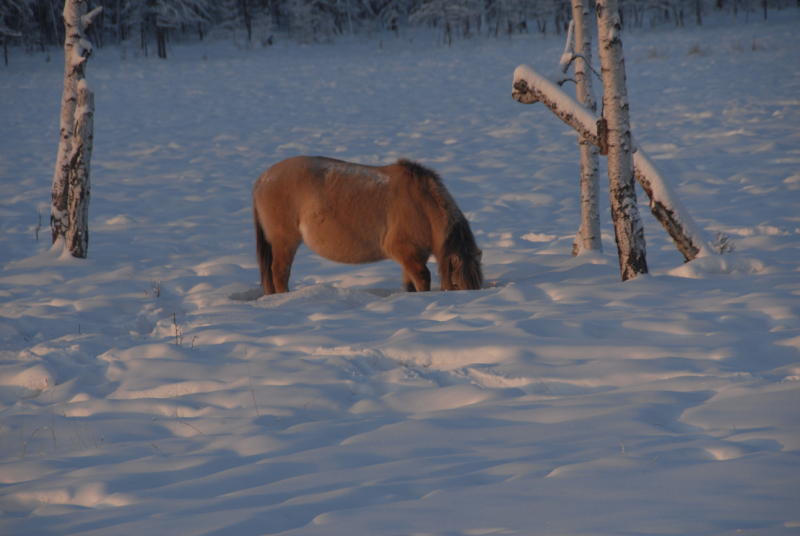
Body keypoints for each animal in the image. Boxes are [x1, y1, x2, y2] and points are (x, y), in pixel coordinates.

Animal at [253, 155, 484, 296]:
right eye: (456, 284)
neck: (422, 204)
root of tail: (263, 178)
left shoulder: (412, 255)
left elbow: (409, 281)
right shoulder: (404, 250)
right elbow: (422, 278)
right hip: (285, 241)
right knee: (280, 272)